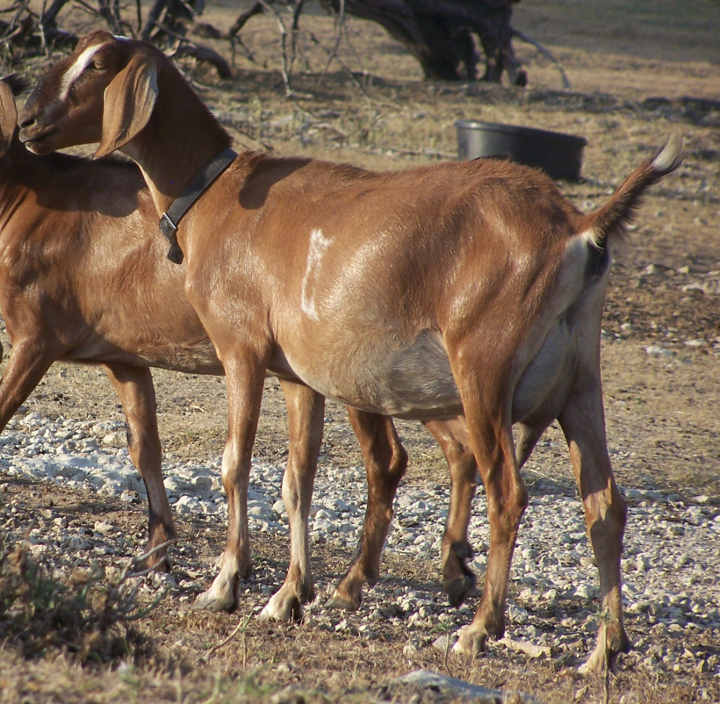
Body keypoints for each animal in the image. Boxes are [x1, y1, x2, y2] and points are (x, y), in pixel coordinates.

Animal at [1, 74, 484, 604]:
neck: (25, 199)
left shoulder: (34, 341)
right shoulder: (126, 360)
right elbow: (145, 447)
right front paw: (158, 550)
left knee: (391, 459)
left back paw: (366, 579)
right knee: (458, 449)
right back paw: (450, 567)